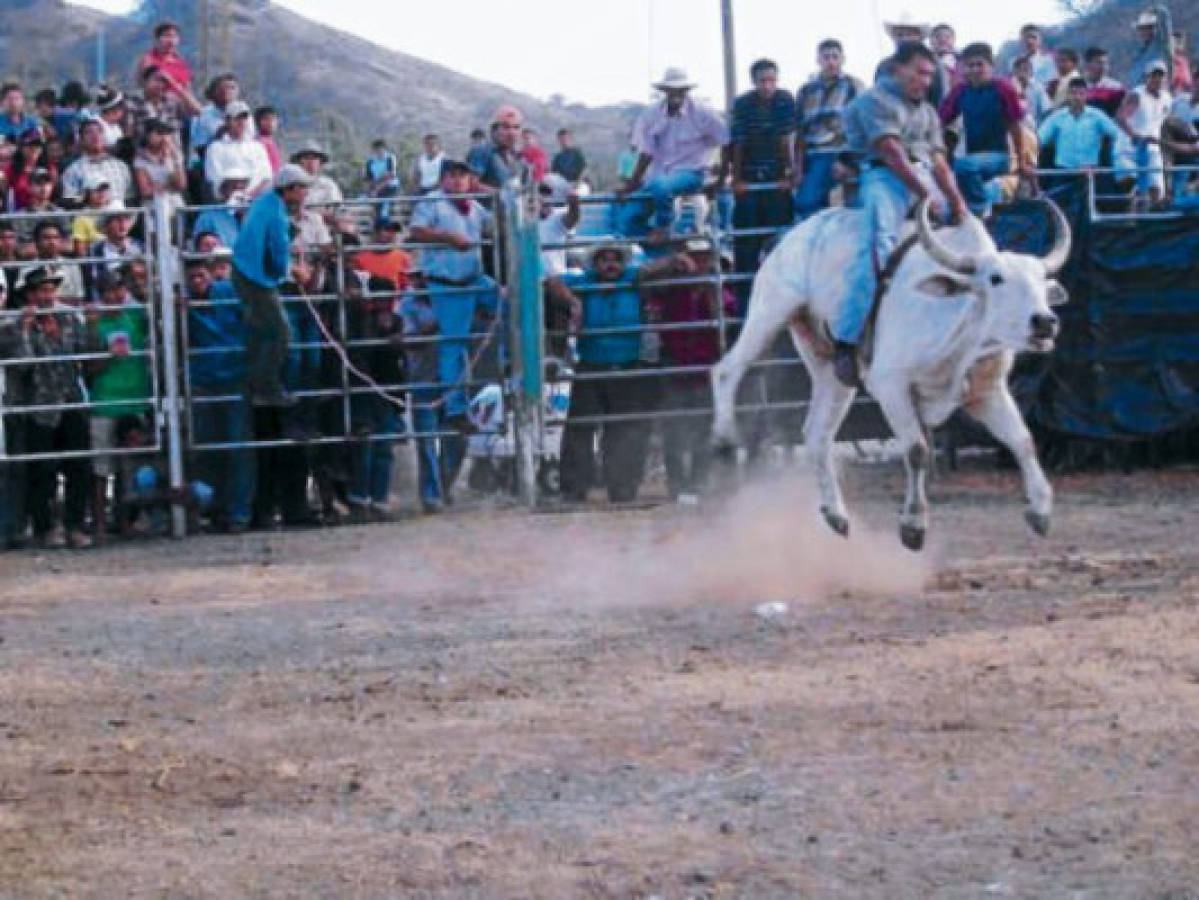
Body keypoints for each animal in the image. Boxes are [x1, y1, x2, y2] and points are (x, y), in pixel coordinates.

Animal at [705, 198, 1074, 548]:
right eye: (996, 279)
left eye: (1041, 281)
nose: (1045, 321)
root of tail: (790, 236)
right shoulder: (892, 386)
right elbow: (917, 450)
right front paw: (914, 525)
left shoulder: (988, 392)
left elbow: (1023, 441)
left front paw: (1040, 511)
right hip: (771, 310)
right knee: (727, 370)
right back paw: (724, 438)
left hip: (830, 371)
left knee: (817, 432)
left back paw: (836, 514)